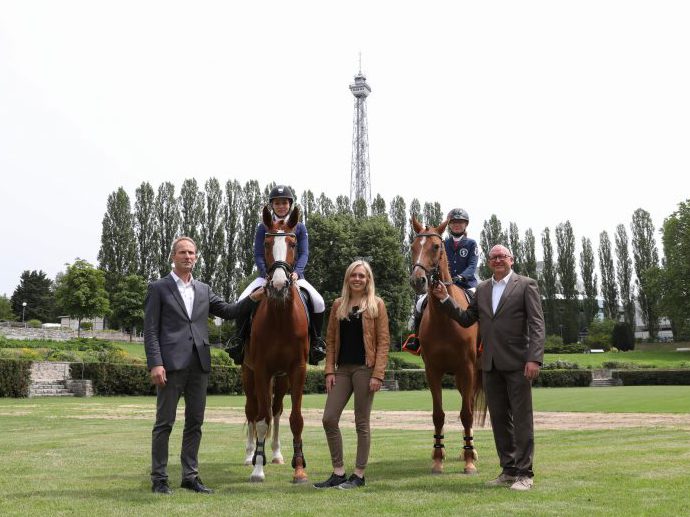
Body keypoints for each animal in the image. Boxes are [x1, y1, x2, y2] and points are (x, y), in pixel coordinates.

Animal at [408, 216, 484, 474]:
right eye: (412, 246)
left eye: (435, 247)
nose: (417, 280)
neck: (446, 318)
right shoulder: (432, 371)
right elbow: (438, 415)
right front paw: (437, 458)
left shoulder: (468, 369)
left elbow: (467, 414)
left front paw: (469, 461)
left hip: (471, 375)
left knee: (469, 405)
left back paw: (471, 450)